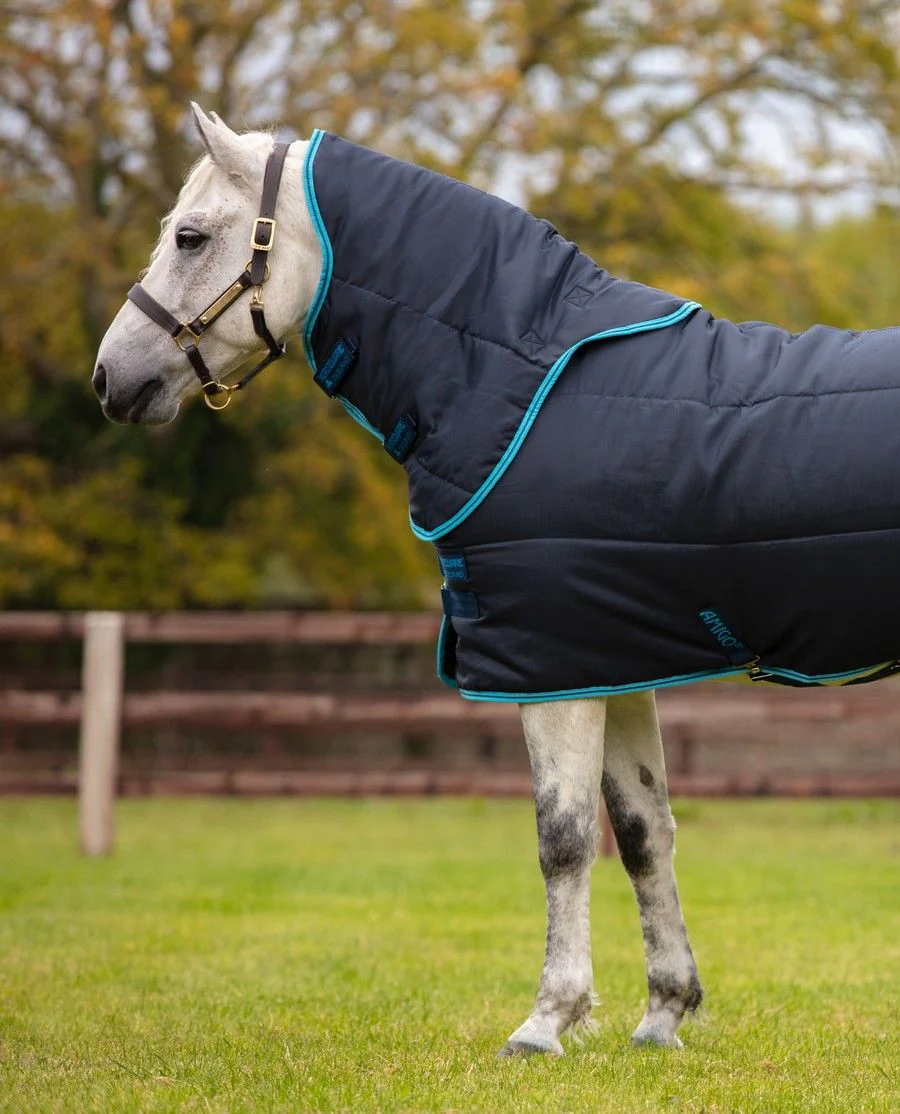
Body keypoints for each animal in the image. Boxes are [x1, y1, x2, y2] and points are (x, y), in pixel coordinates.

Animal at [96, 104, 896, 1057]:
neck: (514, 379)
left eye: (190, 236)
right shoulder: (610, 659)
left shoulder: (552, 666)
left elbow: (564, 838)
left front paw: (547, 1021)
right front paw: (663, 1015)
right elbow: (643, 832)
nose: (110, 378)